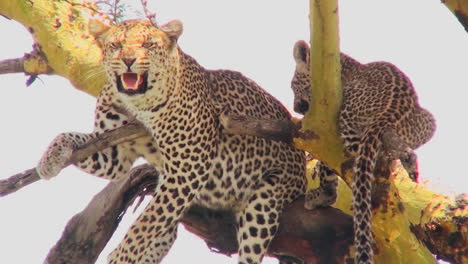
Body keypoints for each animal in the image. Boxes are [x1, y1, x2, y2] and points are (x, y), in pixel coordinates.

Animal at [36, 19, 308, 264]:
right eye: (116, 44)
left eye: (147, 44)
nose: (128, 60)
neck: (138, 106)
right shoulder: (116, 156)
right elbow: (68, 137)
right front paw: (49, 160)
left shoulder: (189, 167)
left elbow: (146, 223)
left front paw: (122, 256)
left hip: (266, 198)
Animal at [290, 40, 436, 262]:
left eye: (293, 86)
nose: (295, 108)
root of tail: (392, 110)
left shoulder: (328, 121)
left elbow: (326, 165)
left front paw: (323, 192)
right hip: (428, 122)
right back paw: (406, 162)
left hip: (347, 116)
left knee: (357, 152)